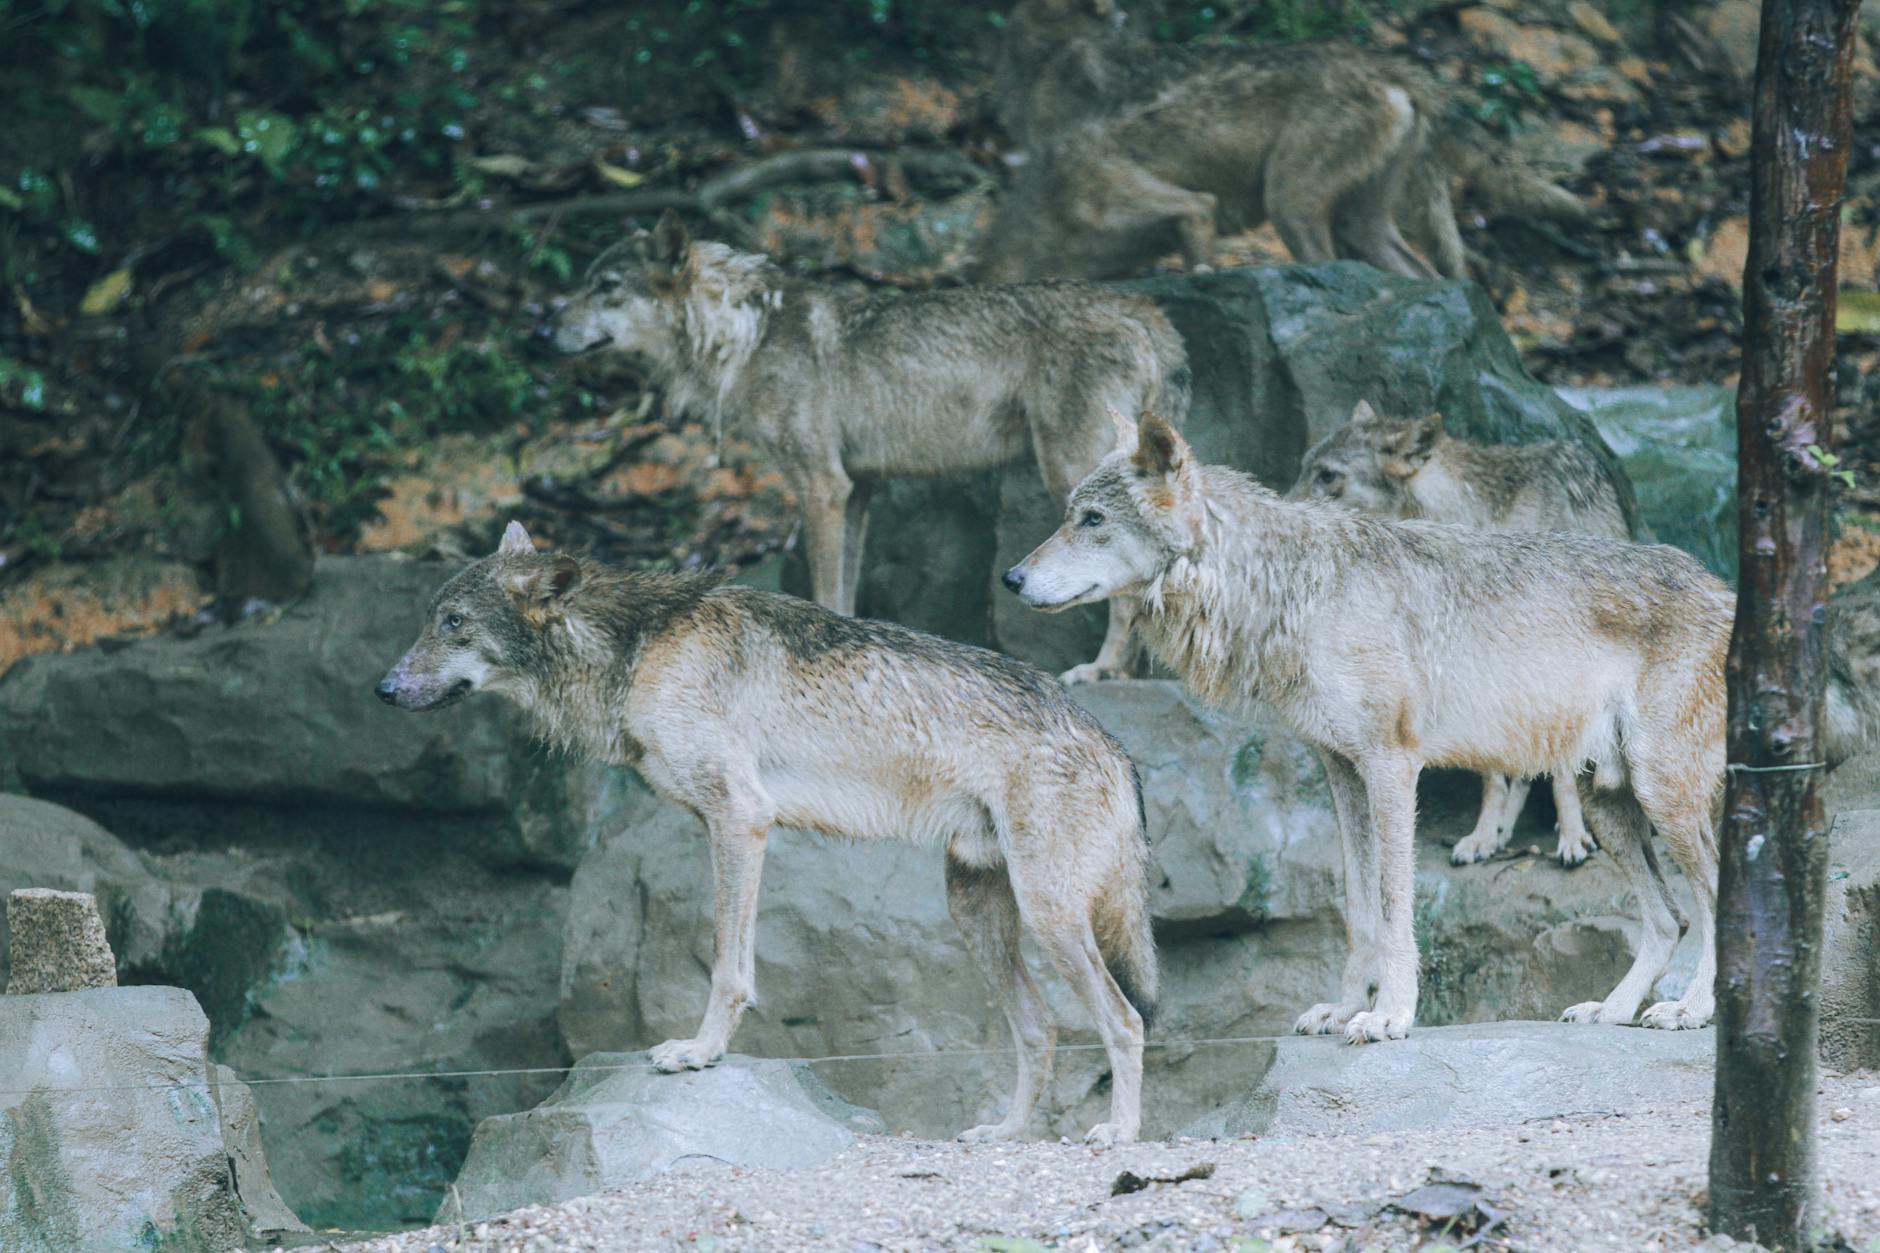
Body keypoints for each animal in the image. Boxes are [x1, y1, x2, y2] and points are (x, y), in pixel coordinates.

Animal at [376, 521, 1158, 1144]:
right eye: (432, 619)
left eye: (453, 622)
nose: (383, 689)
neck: (639, 648)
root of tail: (1115, 745)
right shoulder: (724, 823)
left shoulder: (740, 819)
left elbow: (728, 967)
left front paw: (699, 1053)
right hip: (978, 914)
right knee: (1041, 1028)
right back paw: (1003, 1134)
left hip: (1047, 915)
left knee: (1125, 1021)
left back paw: (1118, 1133)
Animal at [552, 208, 1190, 684]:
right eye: (585, 283)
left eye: (605, 288)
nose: (542, 331)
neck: (745, 337)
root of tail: (1145, 310)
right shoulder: (857, 491)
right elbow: (845, 594)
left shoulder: (822, 487)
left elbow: (826, 590)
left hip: (1069, 474)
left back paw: (1104, 670)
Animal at [1290, 401, 1632, 868]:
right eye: (1305, 466)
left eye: (1327, 475)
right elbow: (1492, 777)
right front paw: (1483, 834)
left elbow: (1560, 774)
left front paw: (1573, 837)